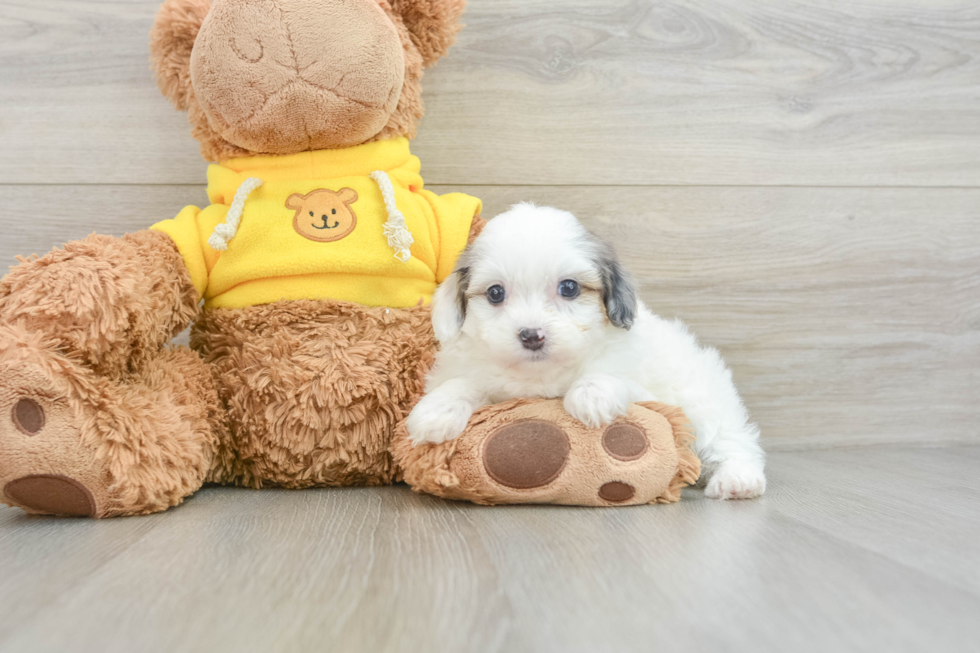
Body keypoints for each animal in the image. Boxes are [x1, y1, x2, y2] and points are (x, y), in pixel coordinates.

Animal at [406, 204, 764, 500]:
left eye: (569, 288)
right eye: (495, 293)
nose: (531, 335)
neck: (542, 374)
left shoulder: (646, 389)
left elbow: (612, 376)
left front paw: (592, 396)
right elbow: (464, 383)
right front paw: (437, 411)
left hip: (703, 400)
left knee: (731, 439)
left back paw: (738, 479)